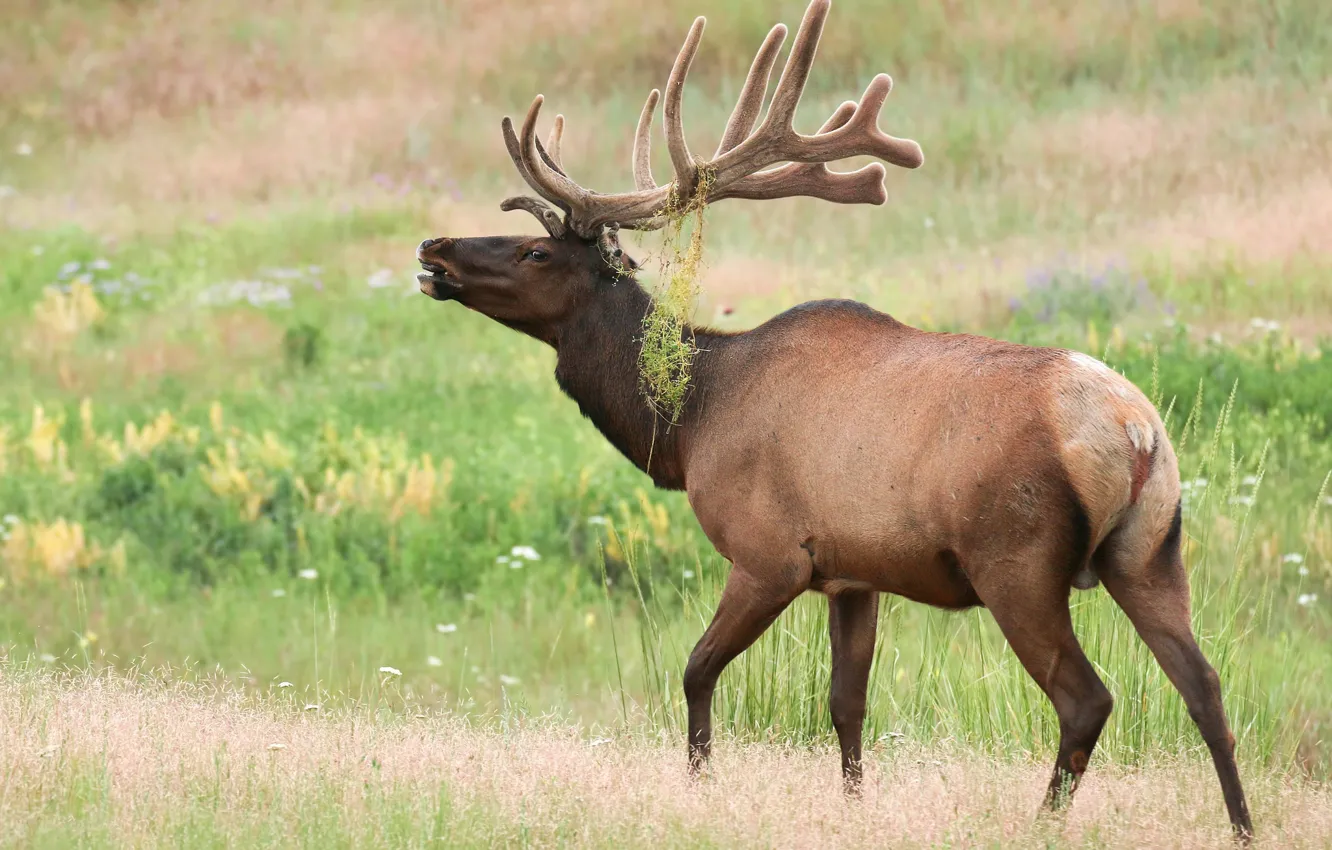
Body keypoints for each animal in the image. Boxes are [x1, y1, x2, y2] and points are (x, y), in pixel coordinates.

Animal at [415, 0, 1252, 838]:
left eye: (534, 253)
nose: (434, 246)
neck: (689, 426)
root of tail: (1134, 430)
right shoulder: (854, 573)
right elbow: (846, 704)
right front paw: (853, 806)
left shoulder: (769, 552)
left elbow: (695, 670)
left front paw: (700, 786)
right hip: (1151, 548)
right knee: (1206, 685)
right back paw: (1243, 825)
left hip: (1018, 559)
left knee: (1088, 699)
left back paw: (1040, 825)